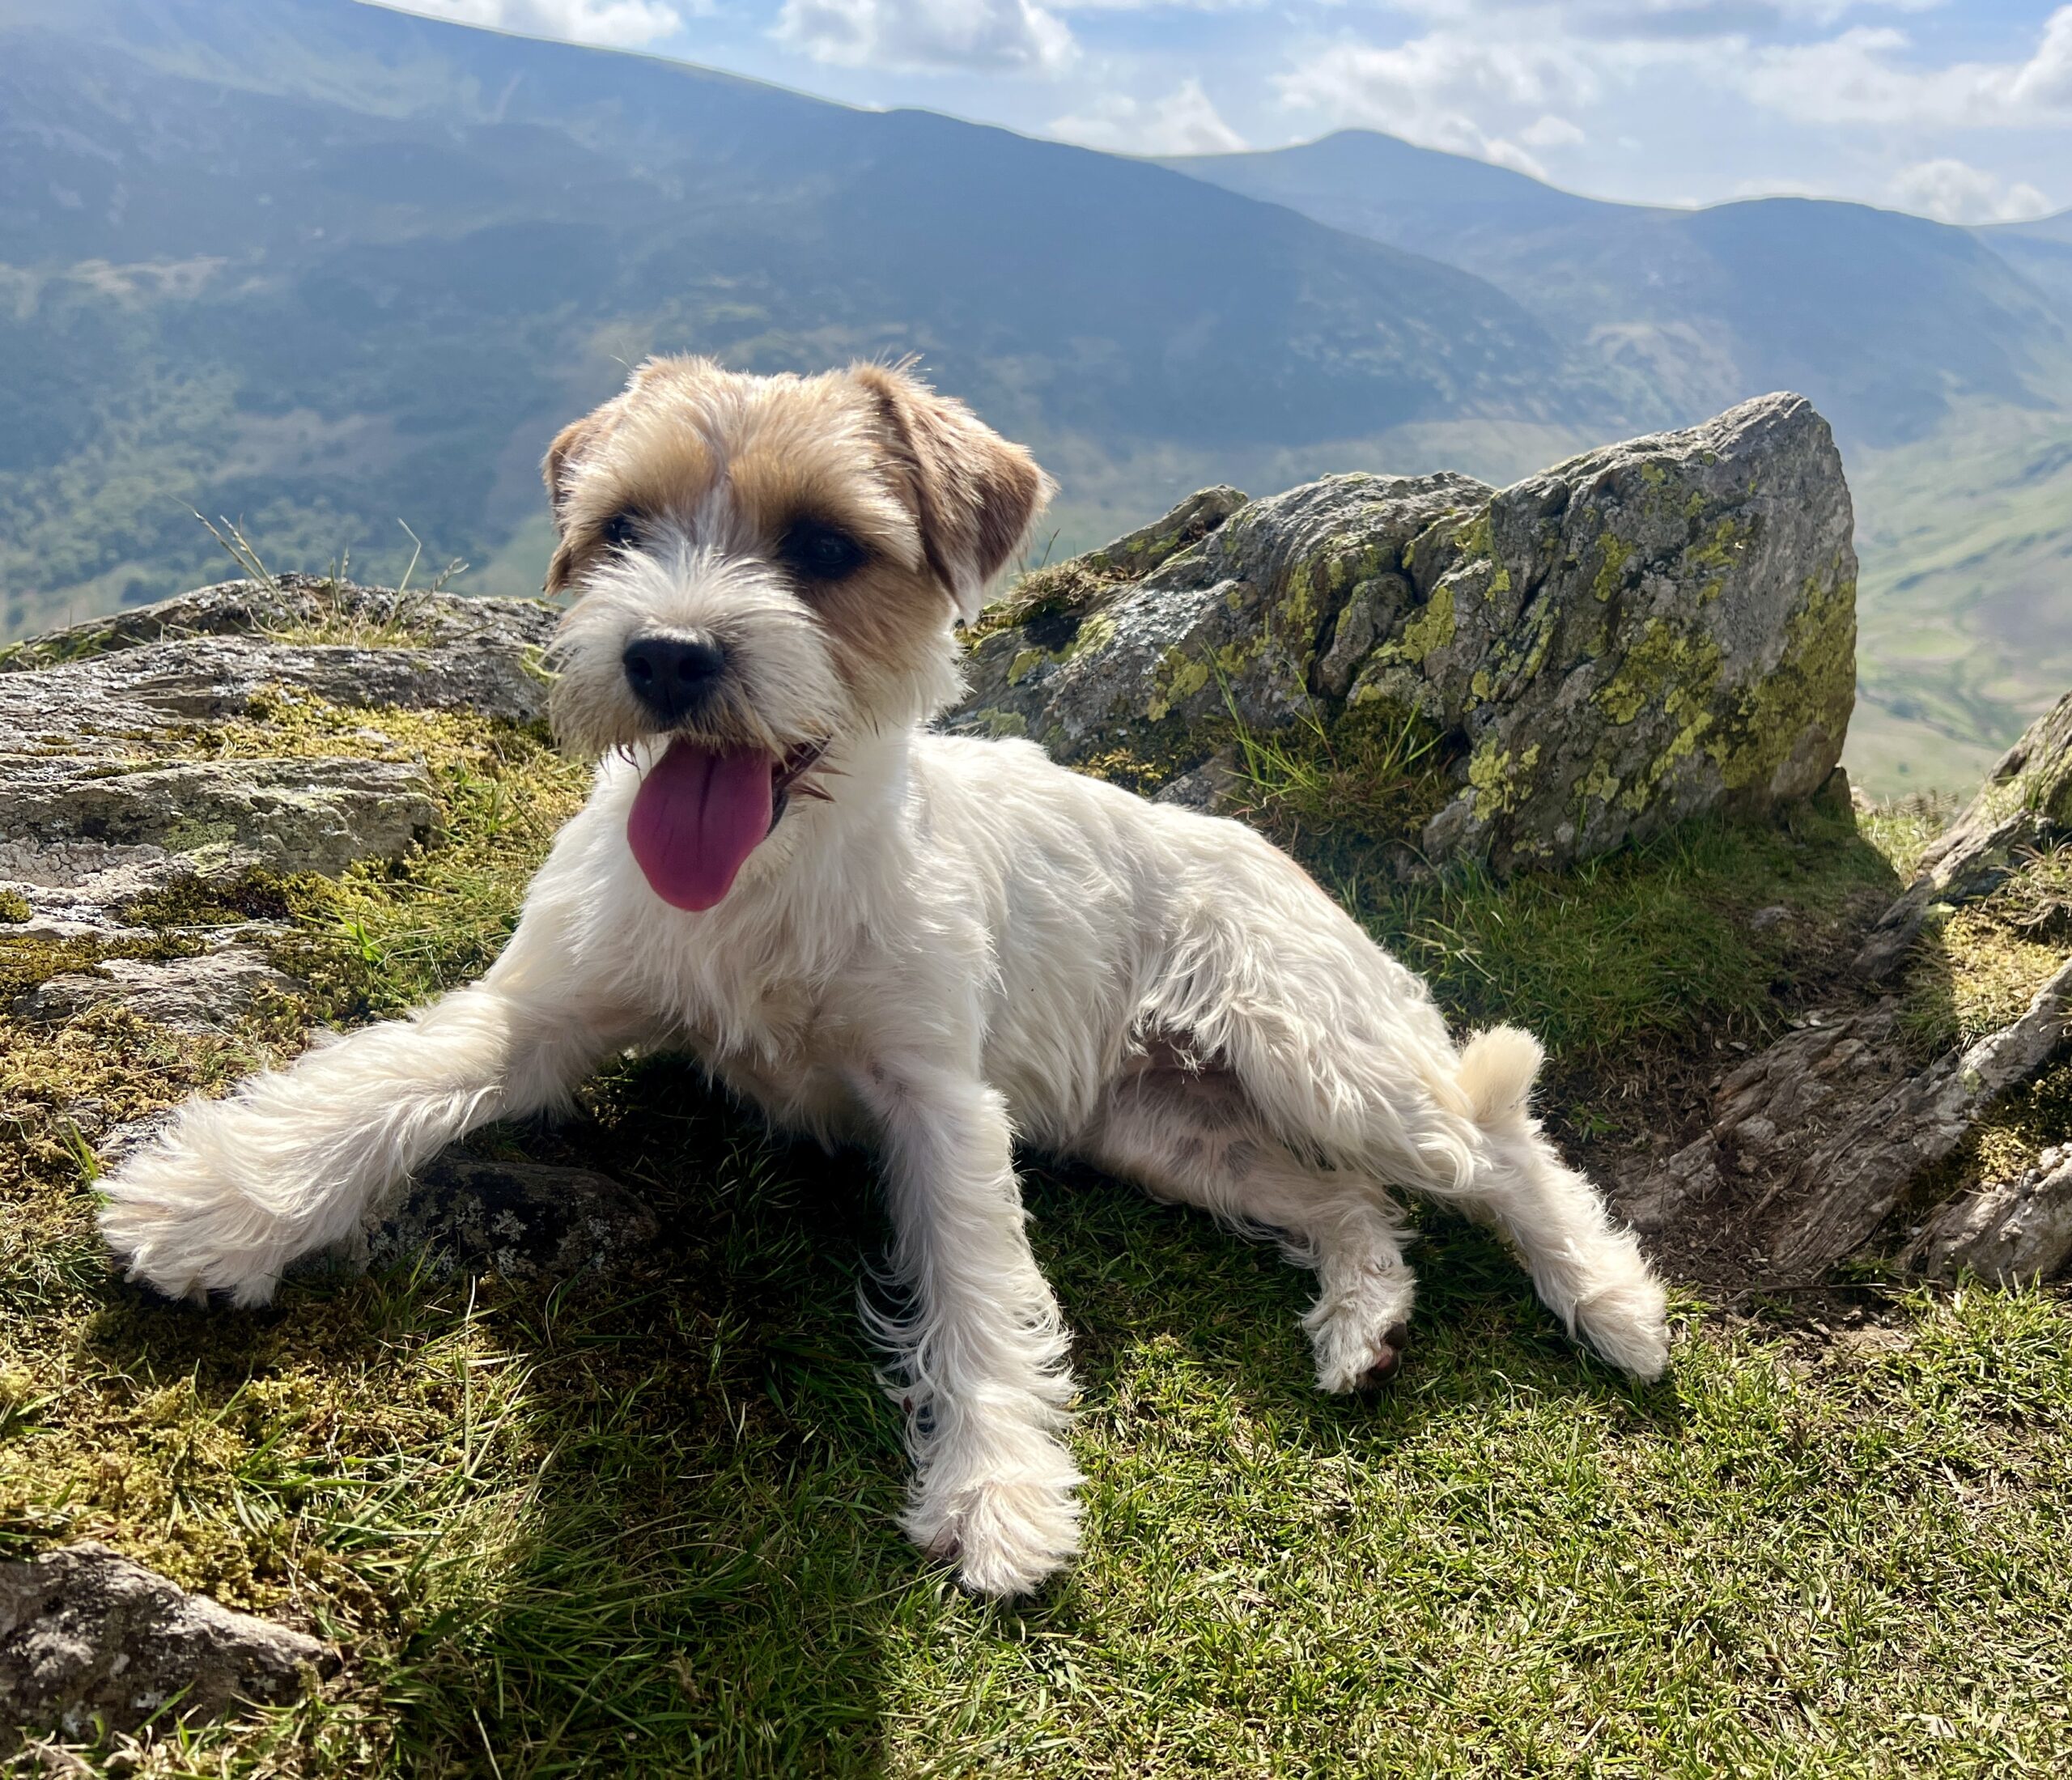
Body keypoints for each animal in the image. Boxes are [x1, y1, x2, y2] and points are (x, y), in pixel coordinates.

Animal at [99, 358, 1671, 1596]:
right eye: (620, 529)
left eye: (824, 545)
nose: (668, 654)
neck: (768, 880)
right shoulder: (537, 1014)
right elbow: (380, 1076)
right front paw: (216, 1199)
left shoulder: (938, 1099)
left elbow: (976, 1284)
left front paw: (997, 1491)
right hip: (1170, 1129)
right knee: (1355, 1206)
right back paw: (1360, 1322)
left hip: (1315, 1050)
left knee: (1494, 1146)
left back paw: (1607, 1296)